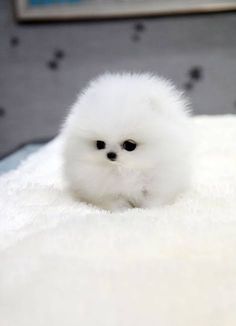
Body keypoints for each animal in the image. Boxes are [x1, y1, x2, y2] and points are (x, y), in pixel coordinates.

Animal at [61, 72, 193, 211]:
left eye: (129, 145)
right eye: (100, 144)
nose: (111, 155)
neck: (126, 169)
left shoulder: (159, 184)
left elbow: (153, 201)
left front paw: (148, 210)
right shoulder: (104, 190)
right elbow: (114, 202)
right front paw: (122, 211)